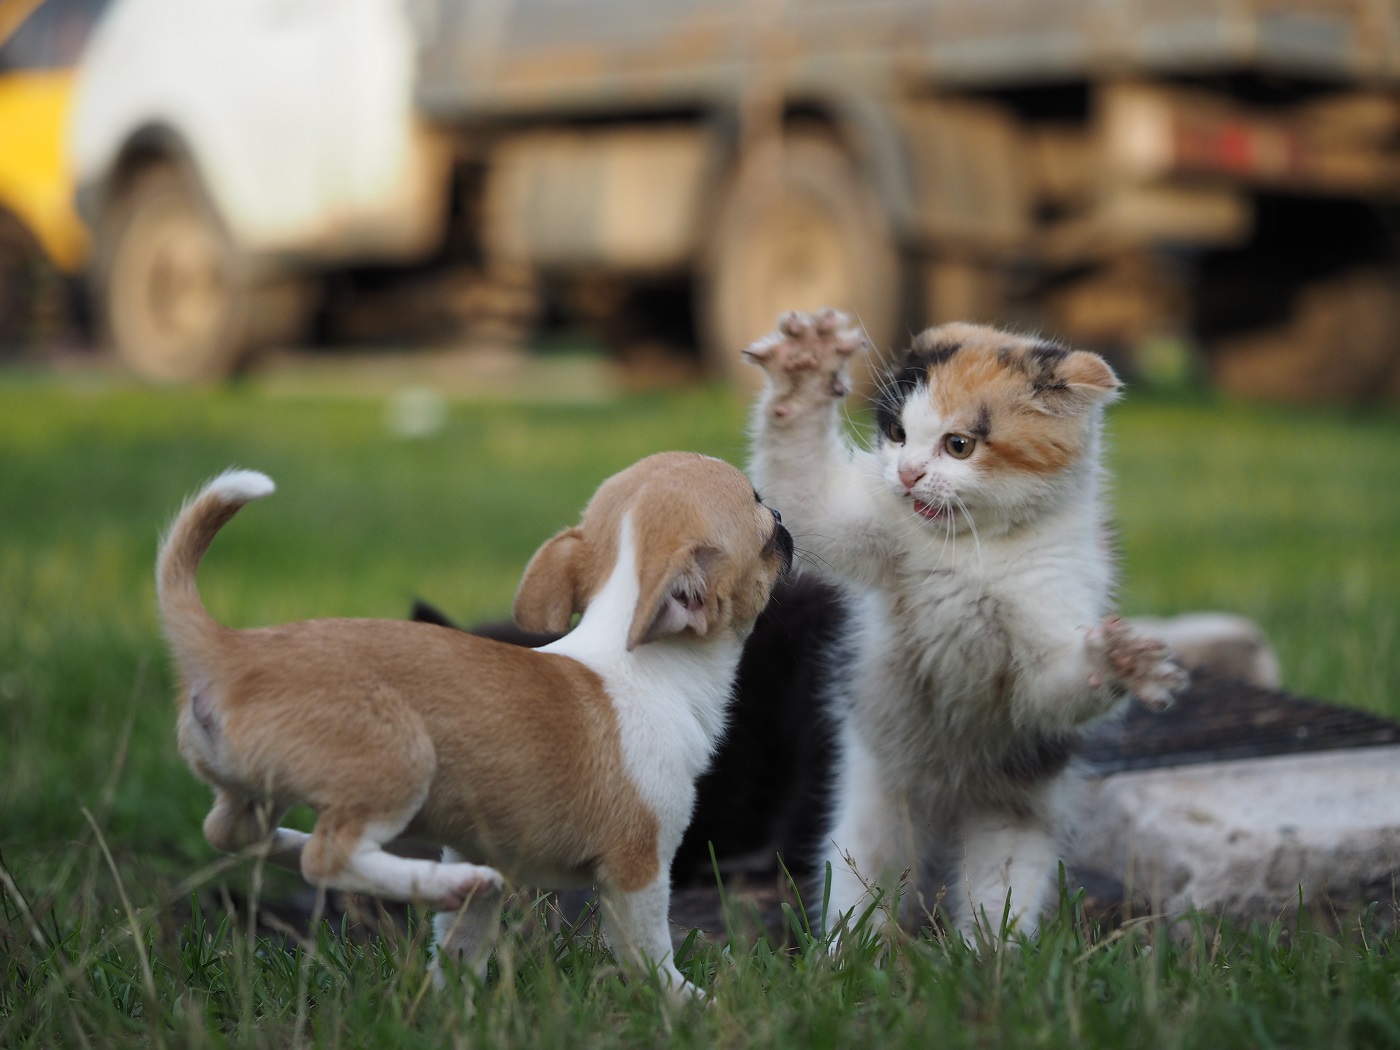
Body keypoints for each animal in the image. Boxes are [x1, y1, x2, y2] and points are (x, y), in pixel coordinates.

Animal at [157, 453, 795, 1002]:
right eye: (761, 509)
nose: (787, 519)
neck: (634, 648)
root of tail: (233, 650)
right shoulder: (637, 869)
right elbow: (648, 952)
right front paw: (689, 1002)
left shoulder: (484, 844)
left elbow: (460, 946)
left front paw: (454, 1004)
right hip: (399, 761)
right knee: (327, 857)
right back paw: (441, 881)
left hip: (254, 791)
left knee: (233, 833)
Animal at [739, 308, 1187, 940]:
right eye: (897, 434)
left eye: (959, 445)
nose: (906, 475)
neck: (973, 549)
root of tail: (948, 796)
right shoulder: (871, 527)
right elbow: (805, 493)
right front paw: (805, 368)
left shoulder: (1056, 600)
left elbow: (1050, 689)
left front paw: (1120, 661)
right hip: (877, 798)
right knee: (865, 873)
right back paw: (849, 952)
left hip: (1014, 812)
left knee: (998, 893)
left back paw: (987, 957)